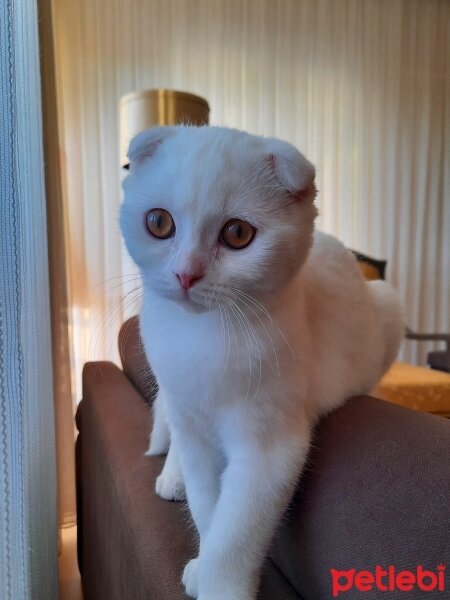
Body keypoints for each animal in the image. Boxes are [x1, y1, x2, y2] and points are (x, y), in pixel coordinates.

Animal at [120, 124, 404, 596]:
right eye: (159, 223)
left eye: (238, 233)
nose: (186, 274)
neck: (201, 338)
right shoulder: (194, 427)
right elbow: (207, 505)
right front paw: (204, 558)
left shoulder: (267, 450)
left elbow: (235, 532)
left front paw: (216, 582)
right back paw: (173, 476)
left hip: (388, 305)